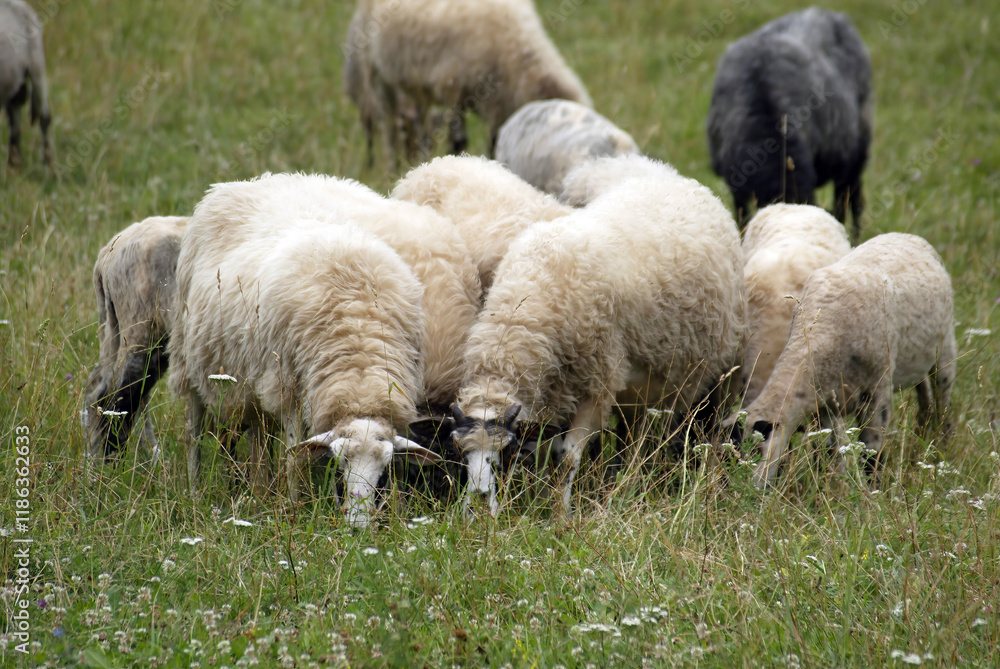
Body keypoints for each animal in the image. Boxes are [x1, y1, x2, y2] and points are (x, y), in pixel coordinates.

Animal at [82, 216, 188, 462]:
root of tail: (106, 256)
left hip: (119, 327)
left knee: (99, 391)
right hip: (139, 328)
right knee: (117, 401)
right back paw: (111, 466)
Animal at [168, 174, 440, 526]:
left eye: (383, 470)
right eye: (340, 464)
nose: (358, 527)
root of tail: (252, 181)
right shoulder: (291, 390)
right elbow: (295, 460)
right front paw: (294, 510)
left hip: (254, 381)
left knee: (258, 436)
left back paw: (260, 491)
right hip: (188, 358)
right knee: (193, 433)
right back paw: (194, 489)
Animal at [361, 0, 592, 160]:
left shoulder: (498, 106)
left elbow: (493, 142)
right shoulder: (453, 89)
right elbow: (458, 142)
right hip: (378, 74)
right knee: (389, 127)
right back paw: (391, 169)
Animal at [413, 156, 745, 516]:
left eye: (506, 453)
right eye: (458, 452)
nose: (476, 506)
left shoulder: (598, 386)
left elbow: (566, 460)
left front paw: (561, 515)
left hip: (703, 376)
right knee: (635, 435)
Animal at [735, 232, 956, 489]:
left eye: (756, 450)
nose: (746, 492)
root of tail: (907, 236)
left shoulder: (877, 395)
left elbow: (871, 454)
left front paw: (873, 493)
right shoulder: (824, 405)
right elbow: (830, 452)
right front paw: (836, 488)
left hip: (946, 348)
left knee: (943, 398)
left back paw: (944, 445)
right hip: (916, 359)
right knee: (925, 394)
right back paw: (923, 434)